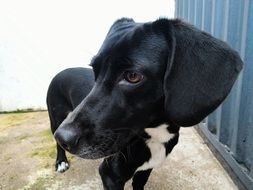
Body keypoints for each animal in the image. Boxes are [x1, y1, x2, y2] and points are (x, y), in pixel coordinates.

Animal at [47, 18, 243, 190]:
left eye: (133, 76)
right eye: (95, 70)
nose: (64, 138)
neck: (154, 135)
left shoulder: (145, 171)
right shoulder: (110, 175)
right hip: (55, 118)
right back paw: (61, 162)